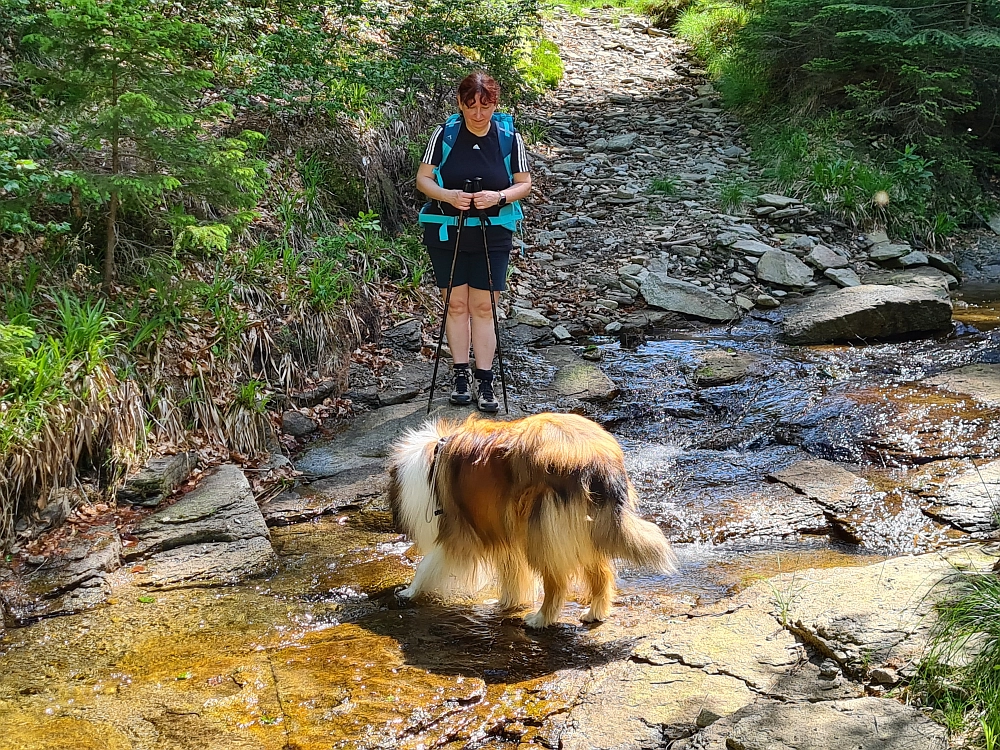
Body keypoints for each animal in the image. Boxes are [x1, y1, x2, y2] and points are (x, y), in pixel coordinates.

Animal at [386, 412, 676, 628]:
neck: (430, 465)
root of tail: (597, 460)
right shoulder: (504, 534)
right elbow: (513, 574)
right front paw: (507, 603)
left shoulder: (458, 534)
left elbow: (426, 565)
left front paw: (408, 592)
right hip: (585, 528)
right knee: (601, 573)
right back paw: (594, 612)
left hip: (542, 530)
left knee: (558, 583)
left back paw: (540, 619)